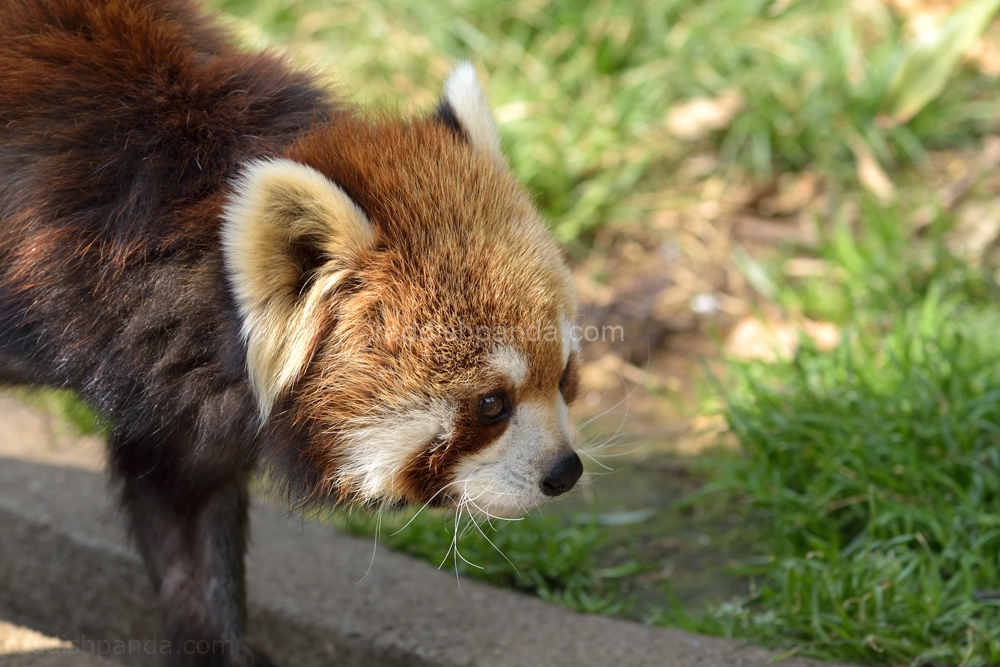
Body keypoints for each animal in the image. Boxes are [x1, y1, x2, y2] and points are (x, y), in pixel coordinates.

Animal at [0, 1, 584, 667]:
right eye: (491, 404)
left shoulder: (173, 389)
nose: (564, 472)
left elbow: (186, 518)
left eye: (565, 375)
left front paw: (218, 647)